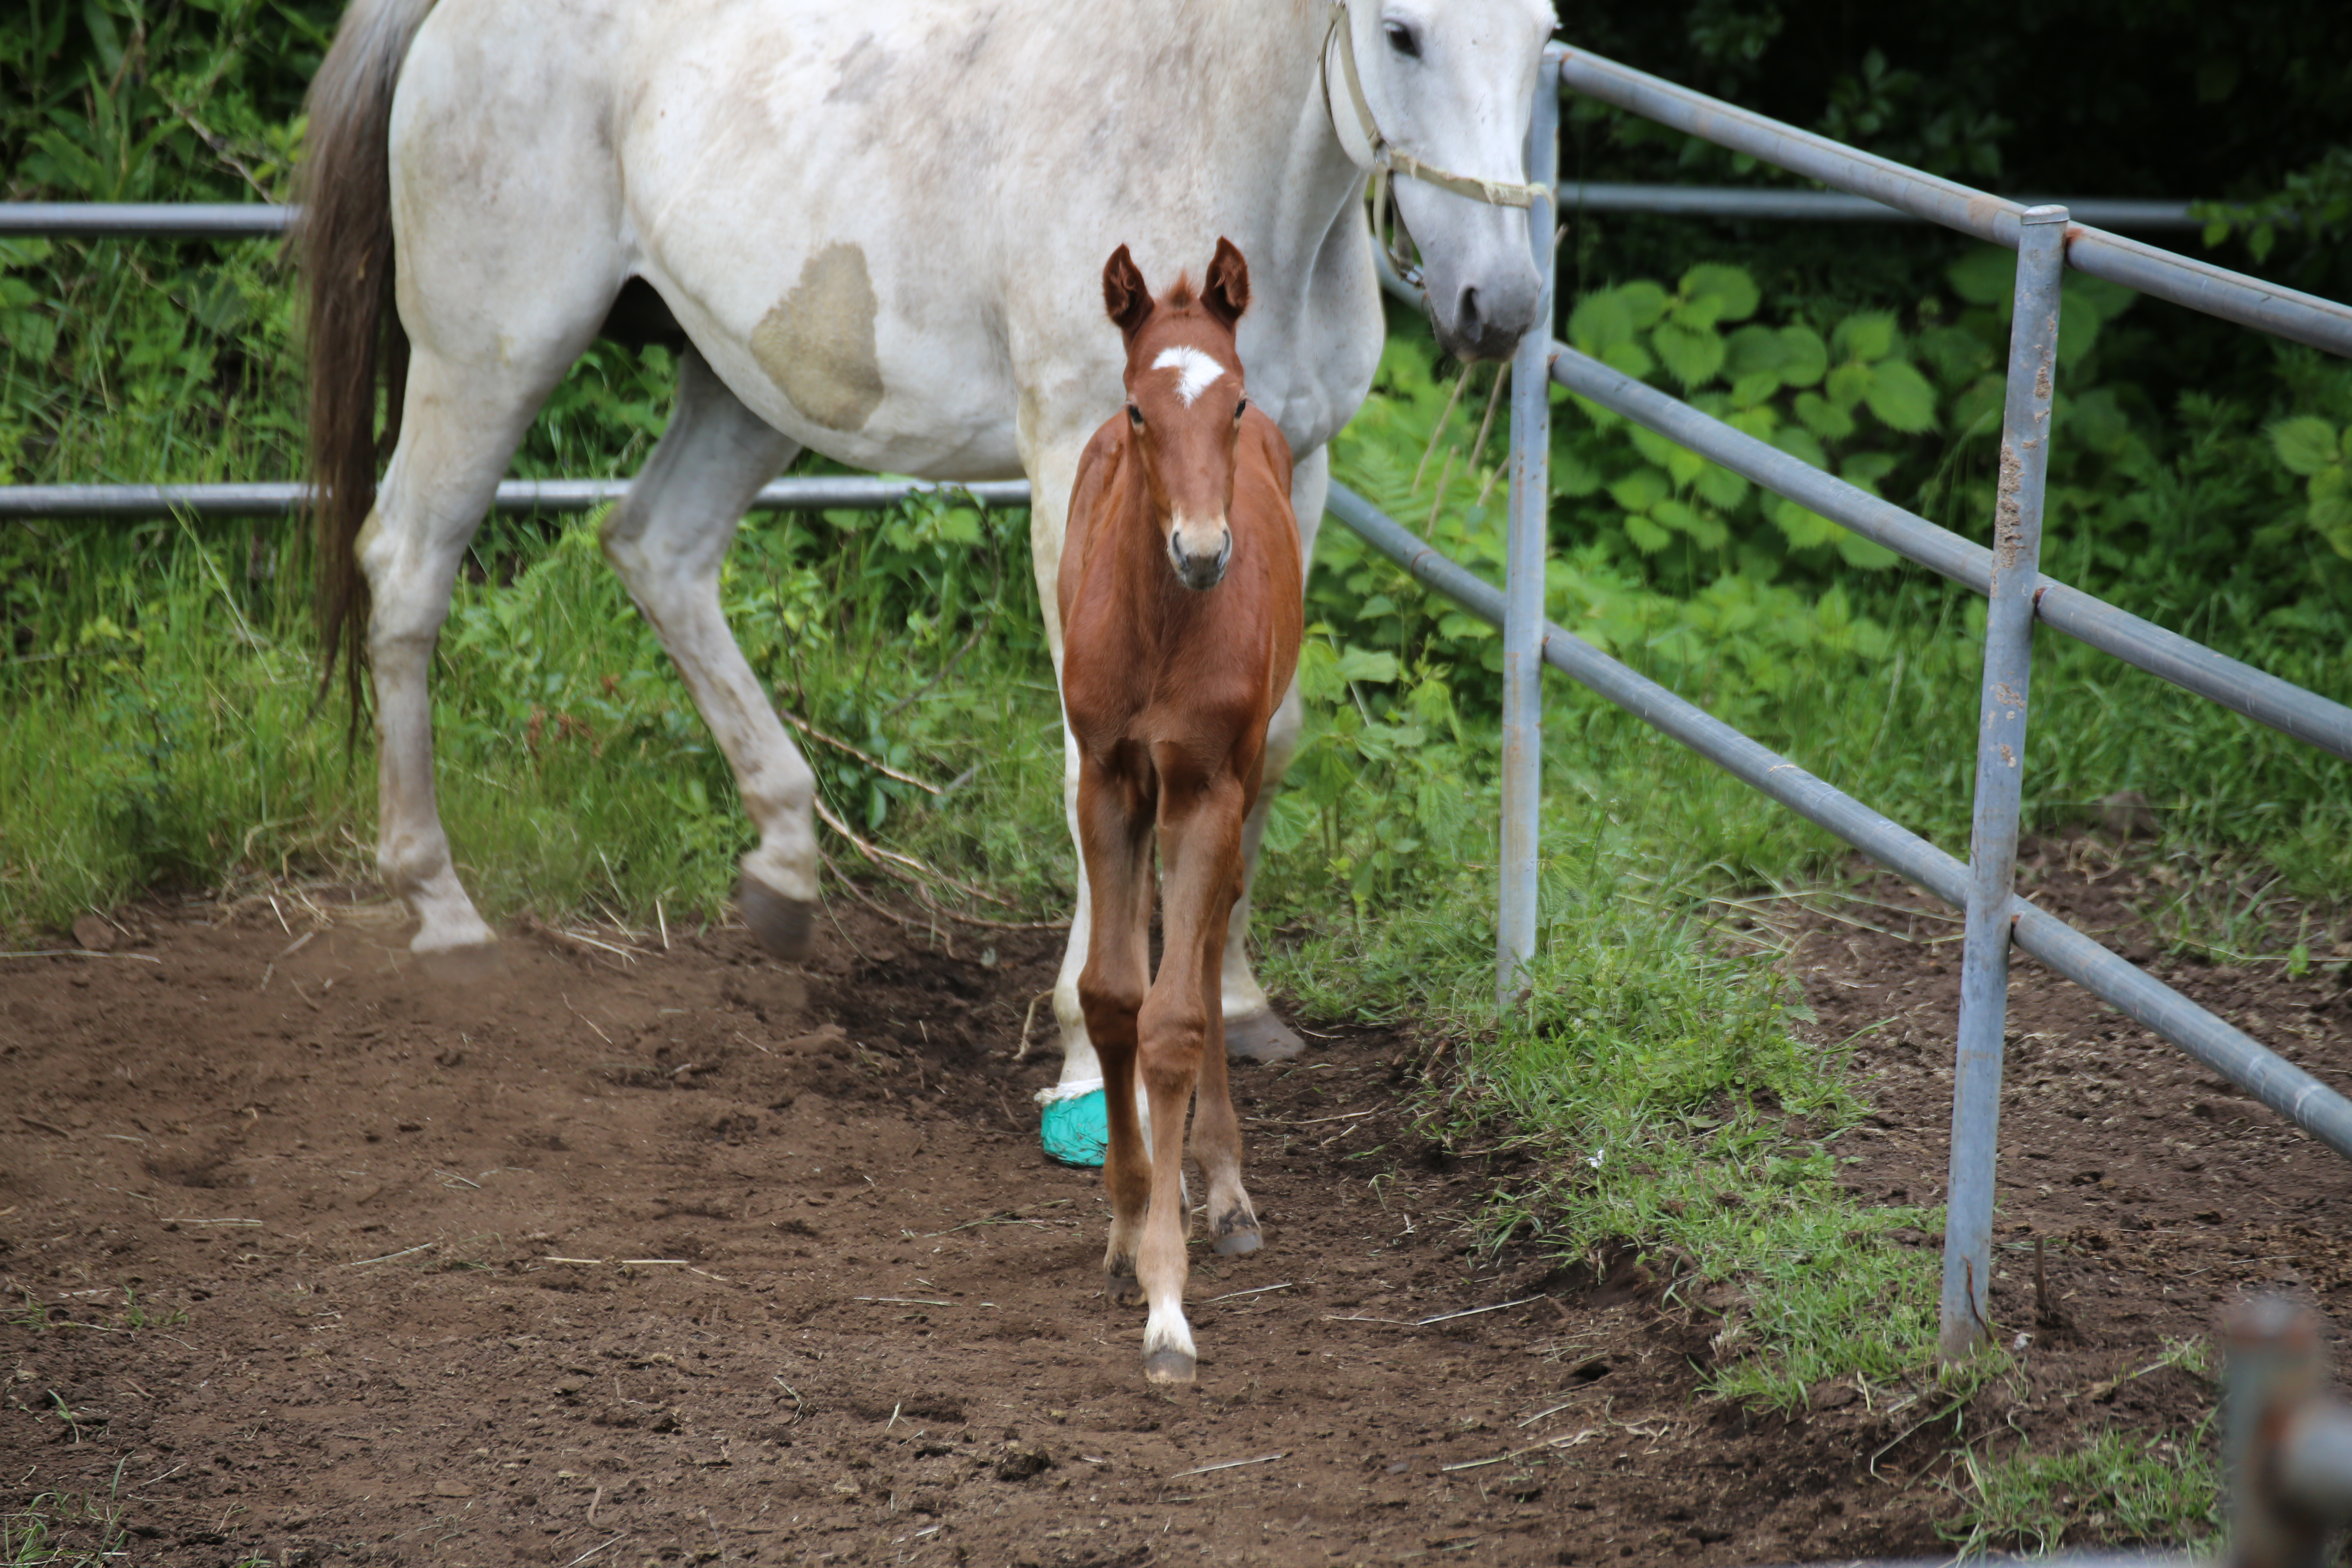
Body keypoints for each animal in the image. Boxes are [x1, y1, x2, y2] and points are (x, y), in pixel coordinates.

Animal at [308, 0, 1561, 1123]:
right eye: (1401, 34)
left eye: (1544, 35)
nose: (1498, 306)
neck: (1210, 137)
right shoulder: (1075, 471)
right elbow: (1088, 753)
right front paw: (1082, 1053)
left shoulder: (1292, 471)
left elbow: (1269, 734)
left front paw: (1241, 1005)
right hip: (491, 357)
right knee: (410, 567)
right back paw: (445, 914)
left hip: (741, 384)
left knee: (657, 548)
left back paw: (783, 869)